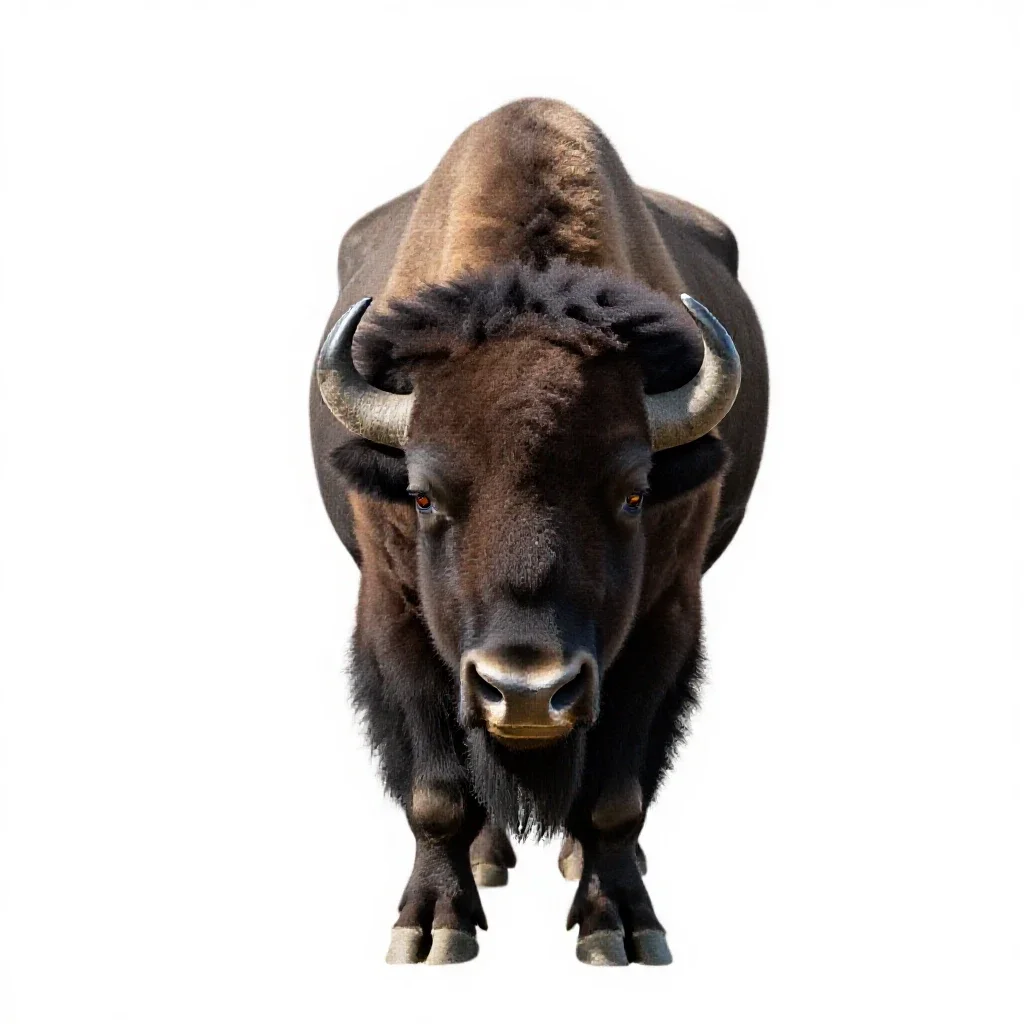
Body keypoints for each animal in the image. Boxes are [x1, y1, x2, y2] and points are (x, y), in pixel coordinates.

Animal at [309, 98, 768, 965]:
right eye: (422, 496)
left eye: (634, 493)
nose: (525, 692)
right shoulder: (393, 612)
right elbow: (436, 791)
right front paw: (431, 929)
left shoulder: (663, 620)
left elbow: (618, 794)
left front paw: (623, 928)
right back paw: (489, 863)